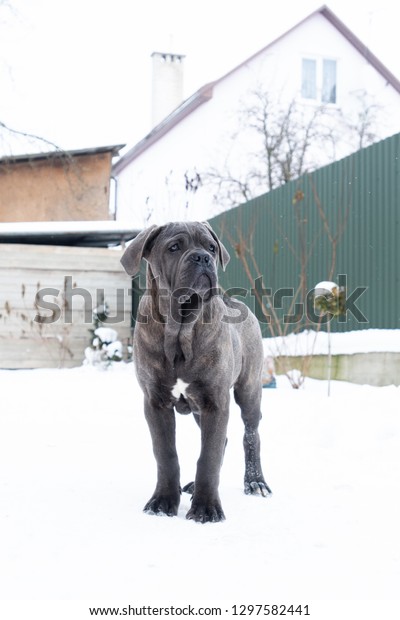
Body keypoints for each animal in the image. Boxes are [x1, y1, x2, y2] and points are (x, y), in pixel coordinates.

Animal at [121, 220, 272, 520]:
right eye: (174, 247)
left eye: (211, 248)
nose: (203, 258)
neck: (180, 329)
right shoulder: (155, 402)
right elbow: (166, 454)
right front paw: (163, 501)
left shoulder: (216, 401)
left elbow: (209, 457)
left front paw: (206, 508)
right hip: (198, 409)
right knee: (225, 439)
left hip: (248, 391)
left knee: (251, 435)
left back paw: (255, 482)